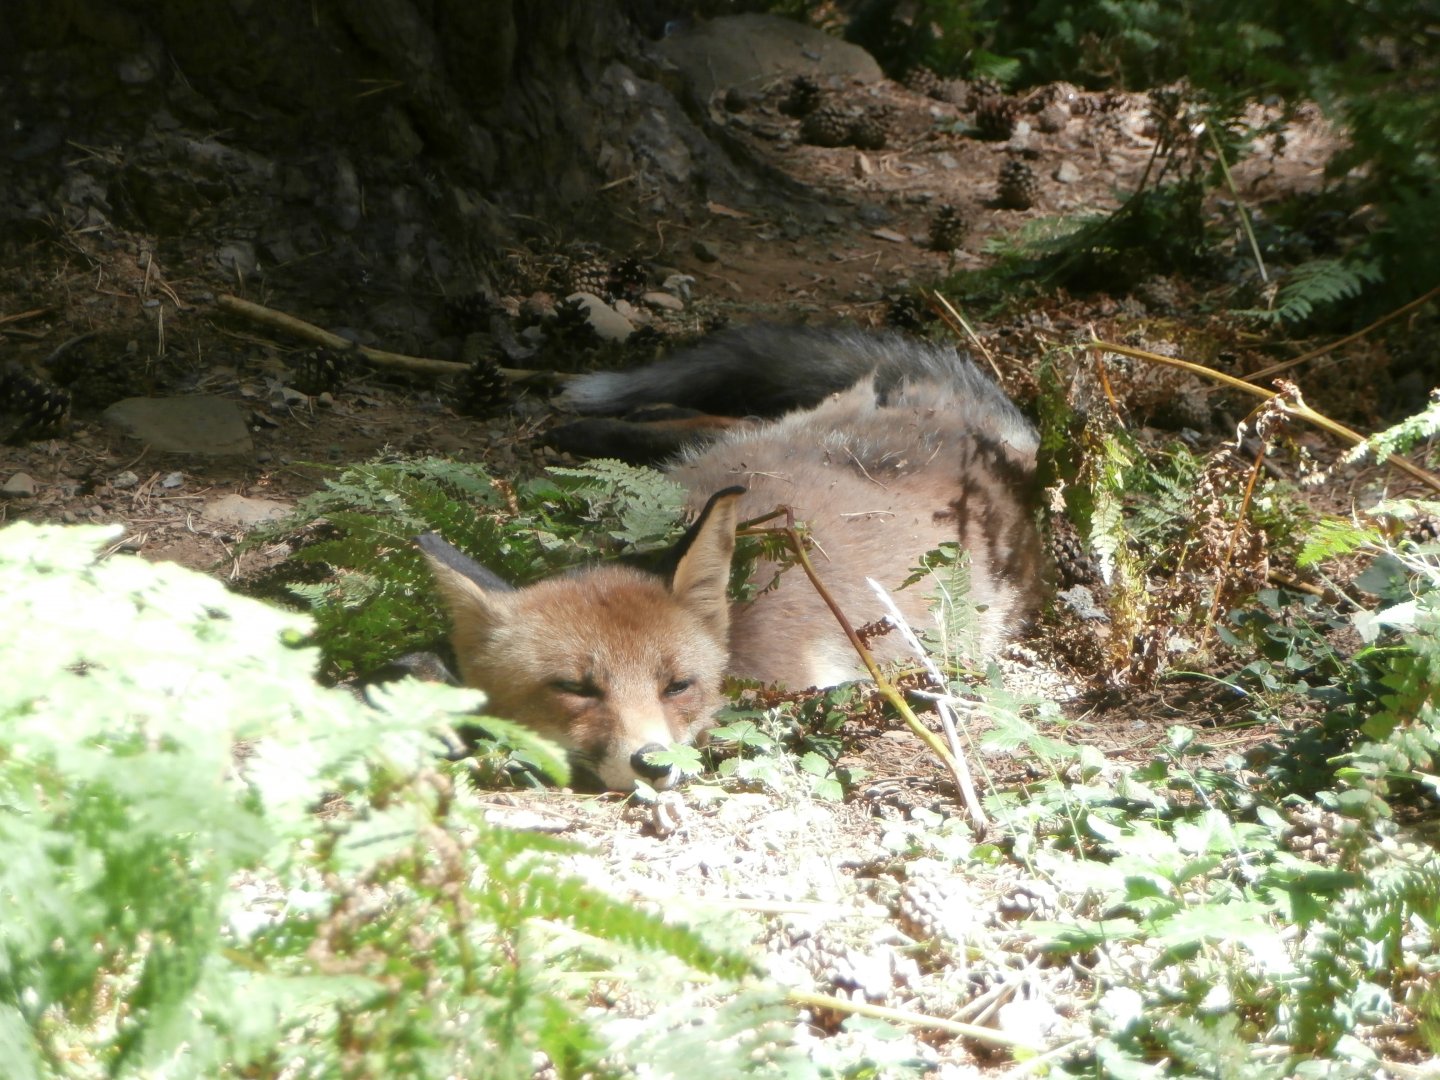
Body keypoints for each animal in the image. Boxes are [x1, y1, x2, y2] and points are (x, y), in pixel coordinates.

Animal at [419, 324, 1044, 791]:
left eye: (678, 686)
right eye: (575, 689)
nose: (653, 762)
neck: (736, 633)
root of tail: (1002, 443)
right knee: (740, 420)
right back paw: (615, 424)